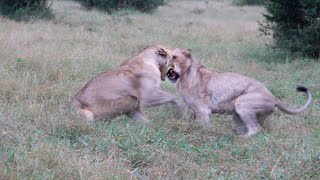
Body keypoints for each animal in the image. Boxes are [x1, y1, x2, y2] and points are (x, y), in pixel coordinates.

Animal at [166, 47, 312, 136]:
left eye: (174, 57)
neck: (184, 76)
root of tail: (274, 98)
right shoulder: (194, 110)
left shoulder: (203, 111)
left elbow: (204, 127)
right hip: (237, 115)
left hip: (242, 103)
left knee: (256, 129)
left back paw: (239, 139)